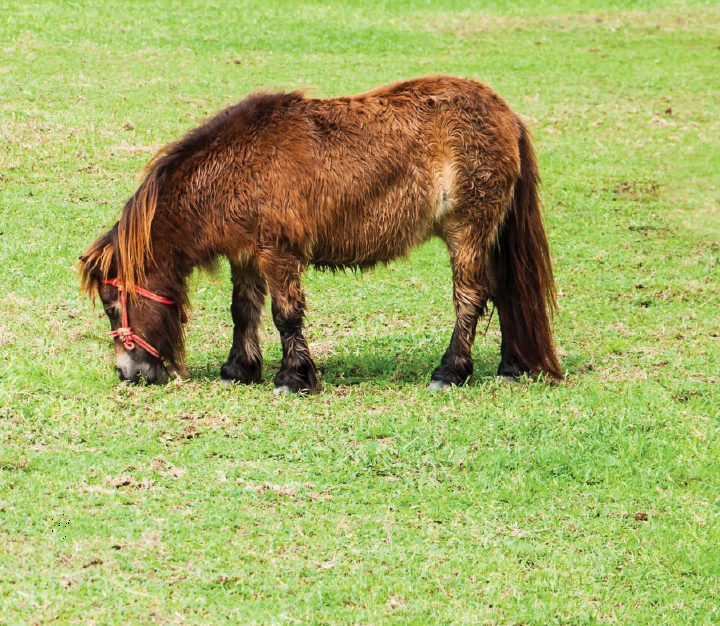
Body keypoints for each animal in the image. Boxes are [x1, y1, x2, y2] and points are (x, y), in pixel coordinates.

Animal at [79, 75, 564, 390]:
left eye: (111, 304)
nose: (127, 374)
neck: (237, 168)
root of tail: (506, 114)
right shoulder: (246, 255)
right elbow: (243, 311)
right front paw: (240, 370)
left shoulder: (278, 253)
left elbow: (285, 315)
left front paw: (293, 377)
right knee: (504, 290)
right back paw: (510, 366)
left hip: (467, 230)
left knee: (471, 297)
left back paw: (451, 371)